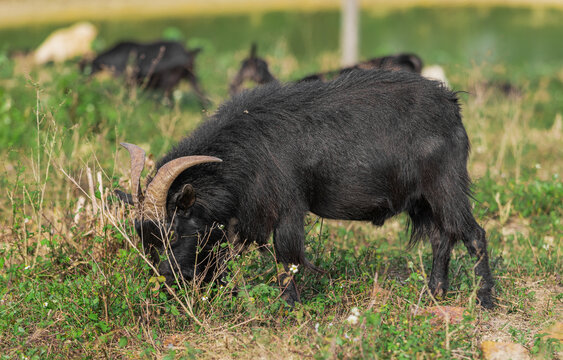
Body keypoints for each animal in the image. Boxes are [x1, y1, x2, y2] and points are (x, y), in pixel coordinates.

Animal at [118, 69, 494, 310]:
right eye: (142, 236)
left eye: (173, 232)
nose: (165, 283)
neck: (244, 147)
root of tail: (450, 103)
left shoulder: (286, 207)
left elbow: (288, 259)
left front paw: (290, 308)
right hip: (422, 199)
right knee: (441, 237)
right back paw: (435, 295)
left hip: (446, 185)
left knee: (473, 235)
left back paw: (484, 302)